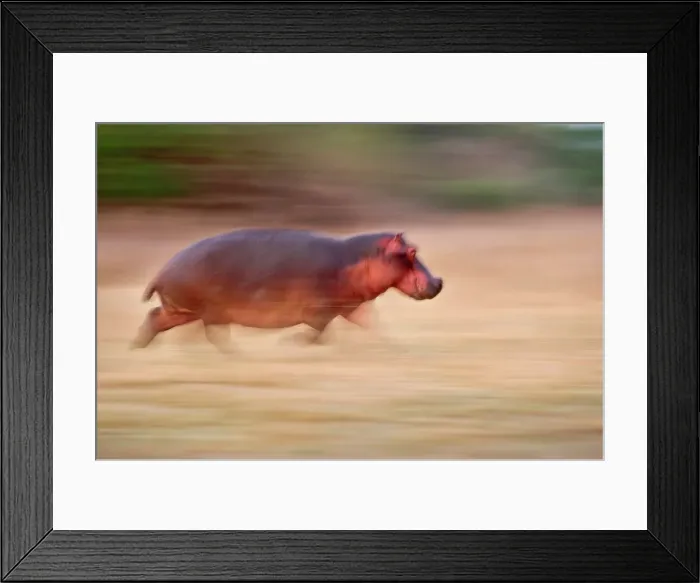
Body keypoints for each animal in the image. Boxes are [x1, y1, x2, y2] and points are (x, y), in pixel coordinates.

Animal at [131, 228, 443, 351]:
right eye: (412, 252)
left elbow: (374, 325)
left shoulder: (350, 308)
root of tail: (162, 270)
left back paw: (135, 349)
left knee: (154, 319)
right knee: (212, 336)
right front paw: (288, 344)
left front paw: (397, 349)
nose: (438, 282)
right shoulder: (320, 312)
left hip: (186, 311)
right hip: (203, 310)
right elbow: (318, 335)